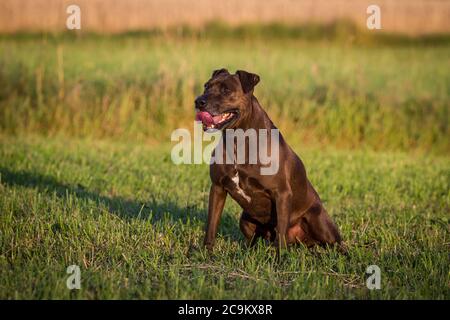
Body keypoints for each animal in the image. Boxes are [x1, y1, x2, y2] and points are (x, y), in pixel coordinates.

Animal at [195, 69, 342, 251]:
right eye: (206, 86)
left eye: (226, 90)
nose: (198, 101)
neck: (238, 140)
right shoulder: (217, 188)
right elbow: (211, 226)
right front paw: (205, 252)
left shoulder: (282, 194)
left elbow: (281, 236)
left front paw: (280, 258)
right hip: (245, 220)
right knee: (254, 240)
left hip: (319, 223)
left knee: (335, 243)